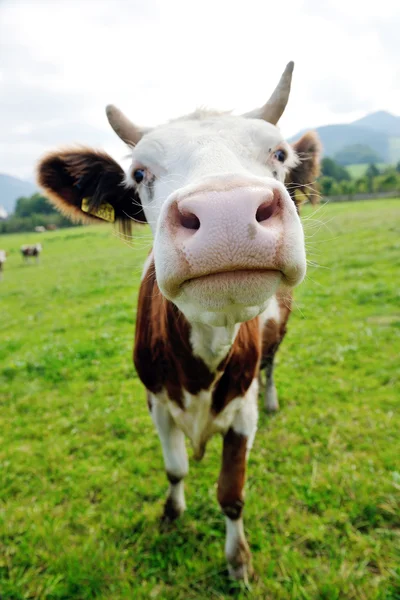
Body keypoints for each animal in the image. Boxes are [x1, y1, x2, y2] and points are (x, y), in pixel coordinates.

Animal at [36, 62, 318, 580]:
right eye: (138, 172)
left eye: (279, 153)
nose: (227, 214)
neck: (203, 355)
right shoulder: (155, 400)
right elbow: (176, 469)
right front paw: (171, 515)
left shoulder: (241, 409)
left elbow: (231, 493)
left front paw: (238, 560)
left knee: (271, 366)